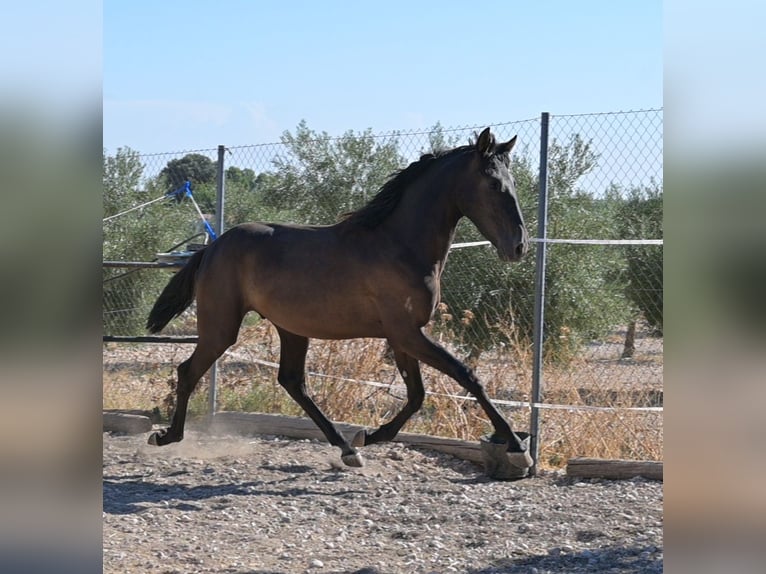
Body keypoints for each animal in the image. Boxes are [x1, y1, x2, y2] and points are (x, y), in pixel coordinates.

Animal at [148, 128, 536, 474]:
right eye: (494, 184)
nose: (519, 246)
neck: (401, 245)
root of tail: (214, 246)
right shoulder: (406, 333)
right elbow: (466, 376)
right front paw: (518, 449)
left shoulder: (402, 336)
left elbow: (416, 395)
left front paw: (370, 435)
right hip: (221, 327)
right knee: (188, 371)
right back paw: (166, 436)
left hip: (291, 328)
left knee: (293, 382)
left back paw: (348, 449)